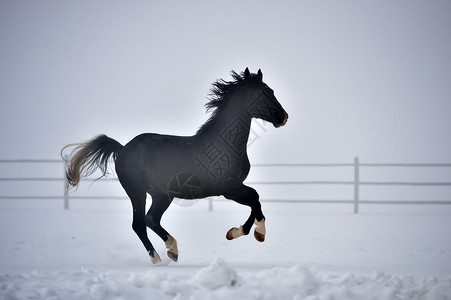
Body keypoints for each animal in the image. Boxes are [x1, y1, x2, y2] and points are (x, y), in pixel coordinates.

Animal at [62, 67, 290, 262]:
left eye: (271, 90)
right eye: (261, 93)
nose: (283, 117)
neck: (224, 145)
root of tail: (123, 148)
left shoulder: (233, 188)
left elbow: (255, 200)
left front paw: (241, 233)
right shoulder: (226, 187)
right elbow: (254, 197)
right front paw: (254, 233)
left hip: (162, 195)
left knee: (151, 219)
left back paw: (172, 250)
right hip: (137, 192)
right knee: (139, 224)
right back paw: (159, 258)